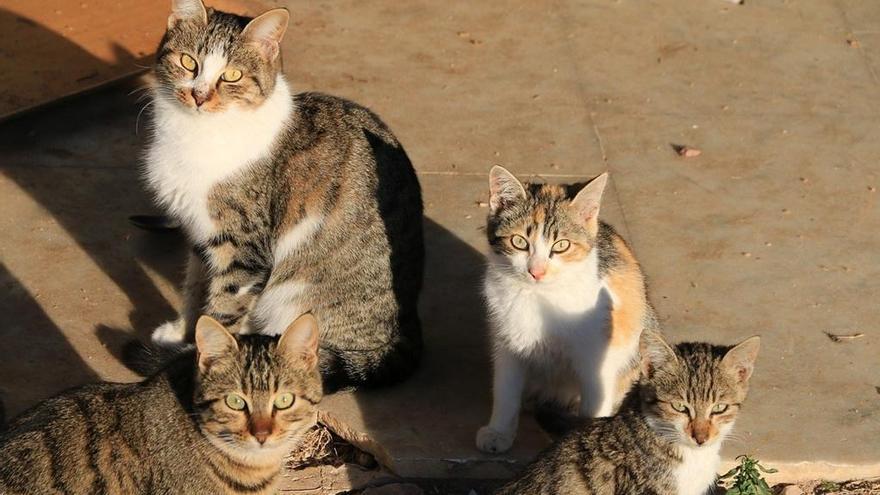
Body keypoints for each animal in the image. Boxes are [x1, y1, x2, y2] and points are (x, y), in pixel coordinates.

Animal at [146, 0, 424, 392]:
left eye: (232, 75)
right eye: (188, 62)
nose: (199, 95)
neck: (195, 130)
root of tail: (408, 330)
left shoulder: (244, 249)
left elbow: (225, 303)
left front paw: (206, 359)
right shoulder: (199, 233)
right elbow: (194, 286)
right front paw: (181, 333)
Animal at [478, 167, 656, 454]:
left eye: (561, 245)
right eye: (519, 241)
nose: (536, 271)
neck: (539, 296)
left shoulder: (596, 361)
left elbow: (595, 405)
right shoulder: (506, 341)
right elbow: (505, 389)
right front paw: (498, 432)